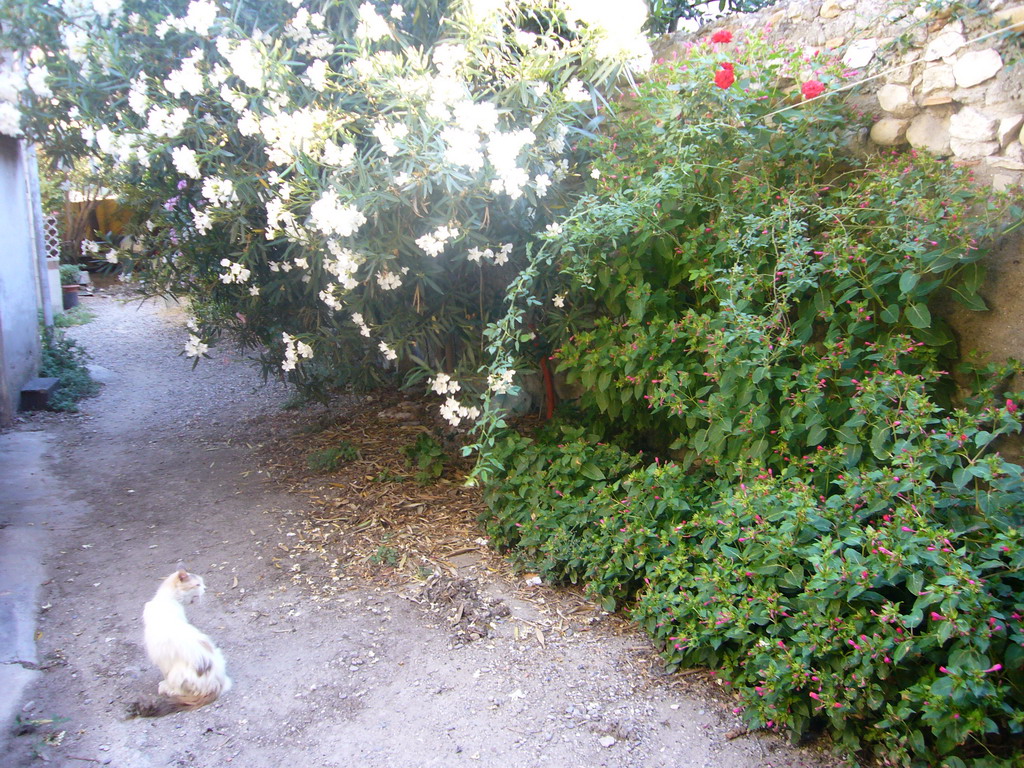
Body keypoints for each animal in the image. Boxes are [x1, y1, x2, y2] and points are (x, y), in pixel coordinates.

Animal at [128, 565, 232, 720]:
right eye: (198, 584)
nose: (205, 588)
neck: (166, 599)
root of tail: (217, 684)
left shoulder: (162, 658)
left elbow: (164, 673)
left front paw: (165, 685)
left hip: (177, 673)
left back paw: (167, 689)